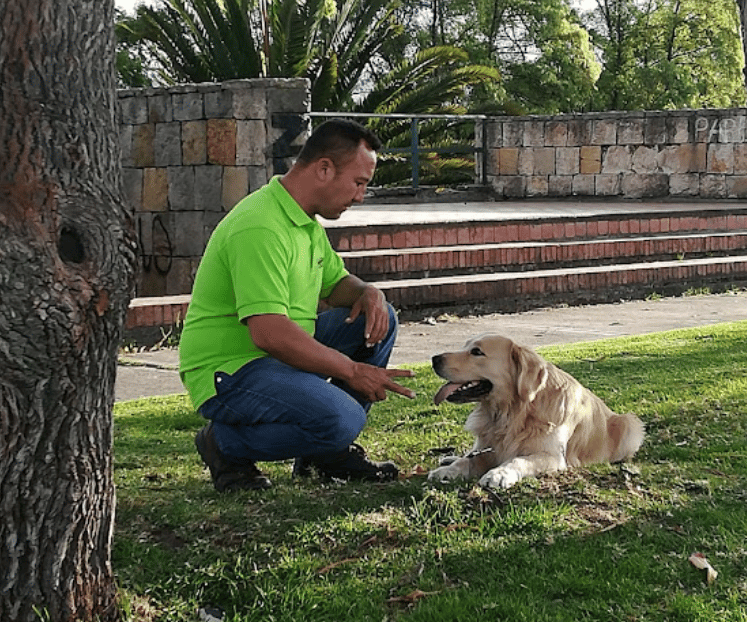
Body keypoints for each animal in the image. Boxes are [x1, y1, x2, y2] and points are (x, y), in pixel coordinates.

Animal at [428, 335, 645, 489]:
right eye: (465, 347)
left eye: (476, 352)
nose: (434, 359)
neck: (515, 413)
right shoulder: (486, 448)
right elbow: (466, 461)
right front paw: (448, 470)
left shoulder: (552, 457)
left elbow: (519, 460)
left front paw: (499, 474)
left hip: (631, 425)